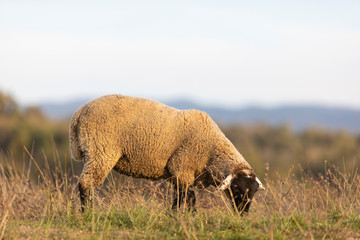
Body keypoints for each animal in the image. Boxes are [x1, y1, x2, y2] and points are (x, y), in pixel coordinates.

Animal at [69, 94, 264, 213]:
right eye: (236, 188)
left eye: (254, 192)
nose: (243, 213)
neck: (212, 150)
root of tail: (79, 113)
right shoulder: (182, 168)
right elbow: (188, 197)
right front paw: (186, 216)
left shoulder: (176, 174)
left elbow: (181, 196)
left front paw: (175, 215)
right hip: (101, 151)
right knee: (86, 184)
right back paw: (89, 213)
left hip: (95, 153)